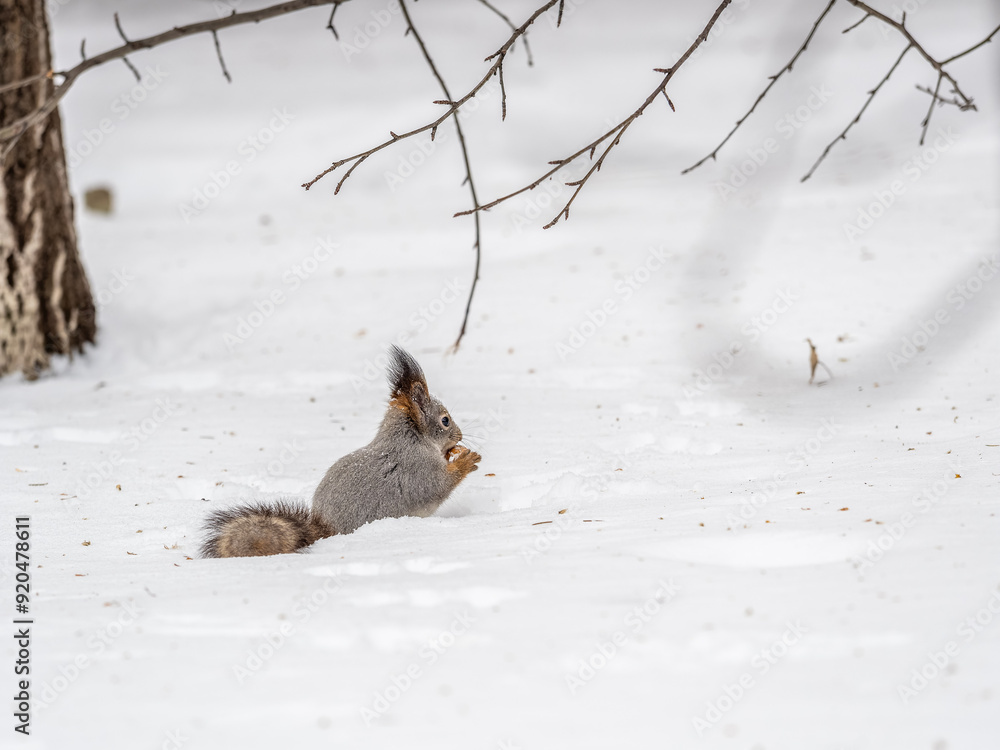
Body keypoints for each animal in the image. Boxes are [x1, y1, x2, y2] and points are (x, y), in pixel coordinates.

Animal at [200, 346, 481, 558]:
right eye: (445, 420)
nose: (460, 436)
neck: (412, 439)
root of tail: (323, 528)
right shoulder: (417, 467)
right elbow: (437, 485)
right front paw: (466, 460)